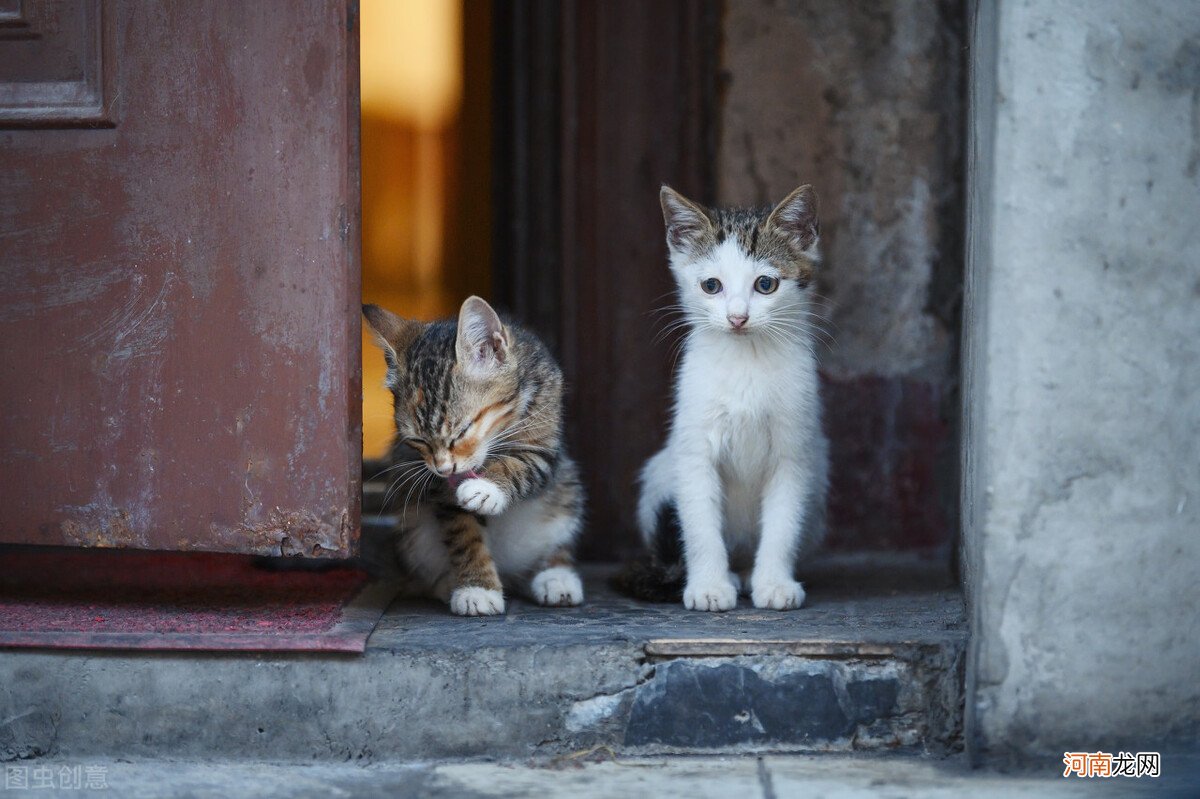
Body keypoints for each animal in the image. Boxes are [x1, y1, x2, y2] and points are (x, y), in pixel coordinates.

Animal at [367, 295, 588, 611]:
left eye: (462, 431)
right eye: (417, 440)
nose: (443, 469)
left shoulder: (545, 439)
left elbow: (523, 464)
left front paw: (486, 488)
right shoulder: (439, 489)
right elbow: (463, 534)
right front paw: (478, 588)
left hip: (566, 495)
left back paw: (556, 577)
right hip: (412, 530)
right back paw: (447, 584)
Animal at [628, 184, 825, 609]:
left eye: (765, 285)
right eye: (711, 286)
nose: (737, 318)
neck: (746, 358)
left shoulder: (794, 450)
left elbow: (783, 522)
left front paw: (774, 582)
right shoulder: (693, 448)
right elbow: (700, 524)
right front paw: (708, 586)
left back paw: (748, 573)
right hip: (658, 476)